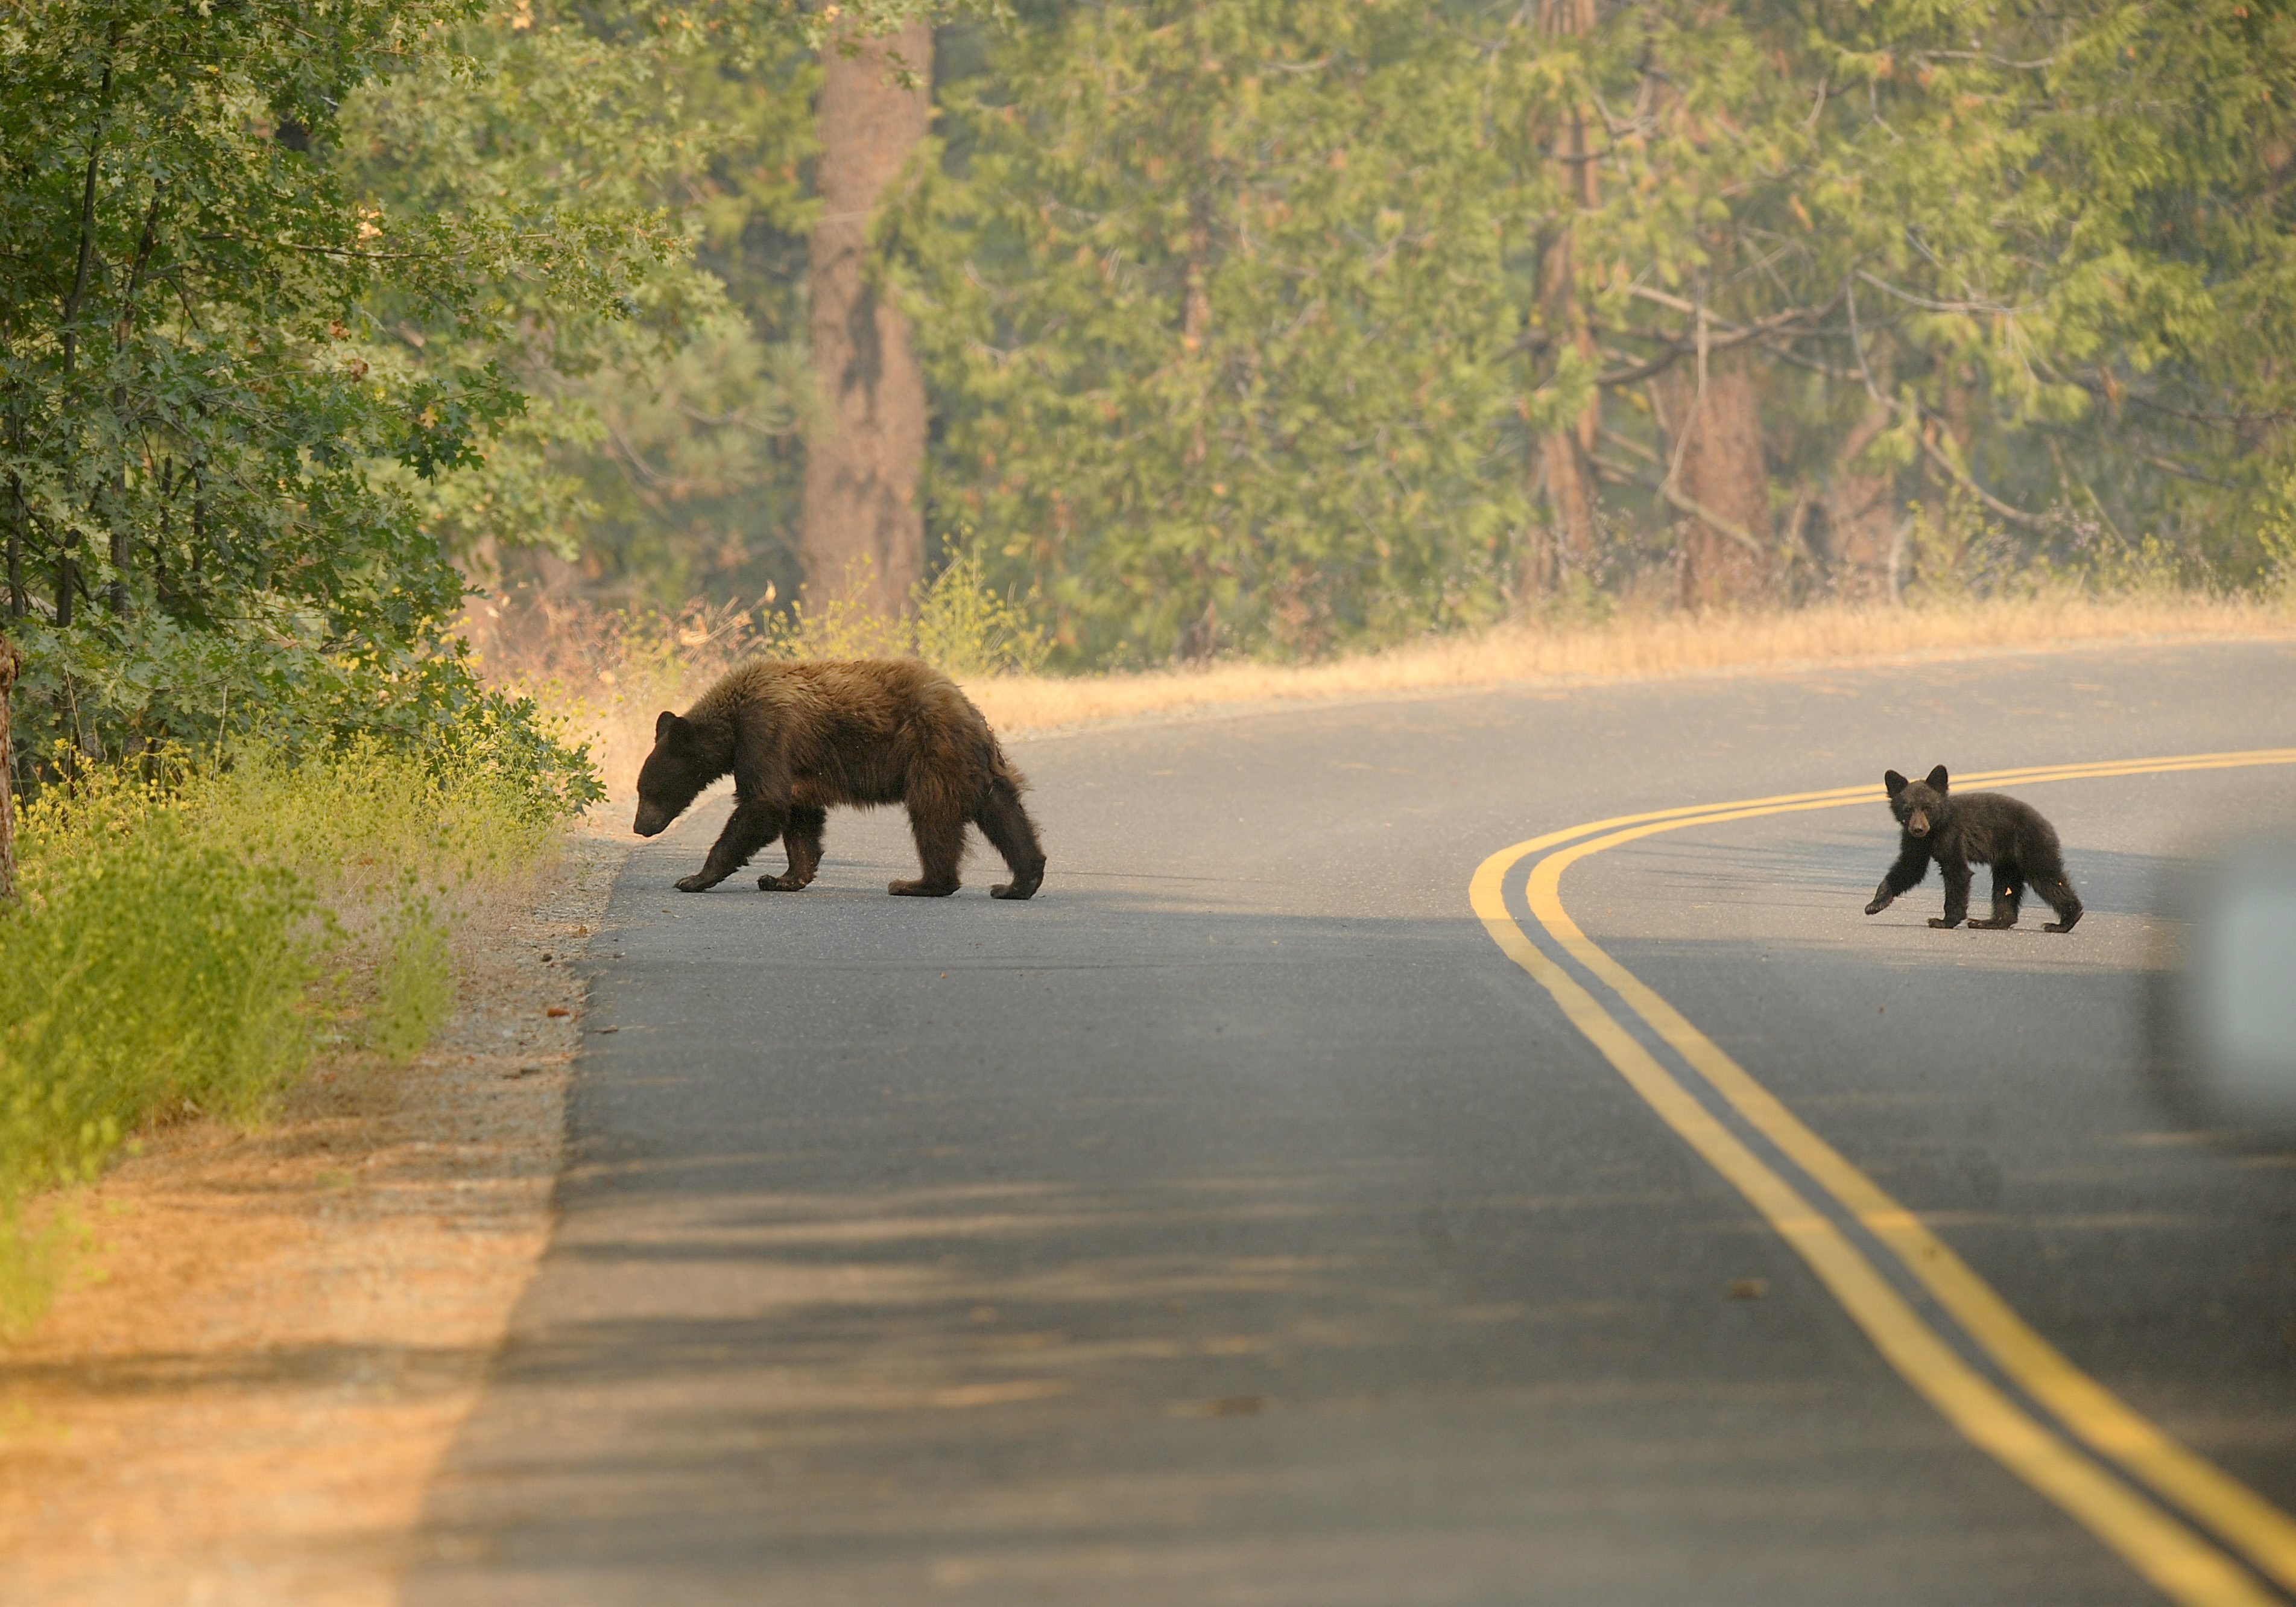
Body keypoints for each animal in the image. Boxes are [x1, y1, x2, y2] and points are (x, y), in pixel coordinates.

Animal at [638, 656, 1051, 904]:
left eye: (648, 790)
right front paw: (784, 877)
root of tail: (968, 709)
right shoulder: (795, 761)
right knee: (1005, 814)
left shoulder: (766, 731)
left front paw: (694, 878)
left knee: (932, 818)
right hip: (977, 765)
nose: (639, 826)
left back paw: (920, 884)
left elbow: (764, 802)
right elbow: (798, 814)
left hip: (933, 752)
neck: (732, 722)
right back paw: (1018, 883)